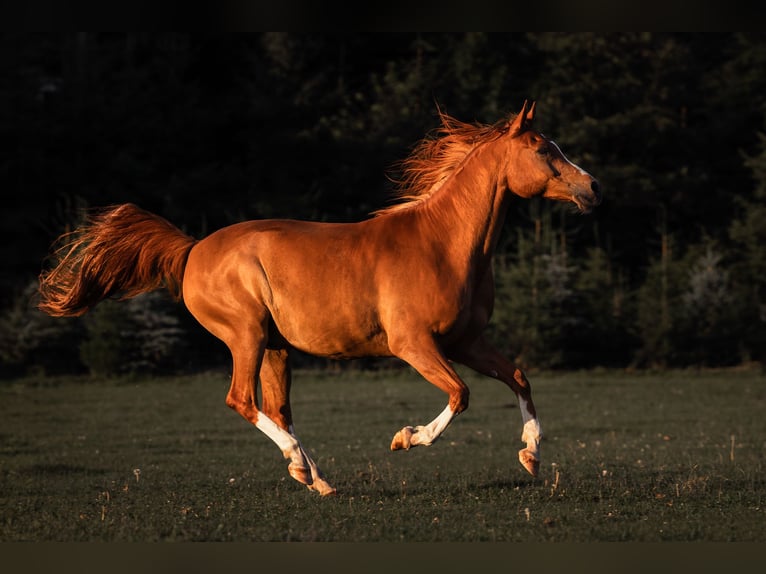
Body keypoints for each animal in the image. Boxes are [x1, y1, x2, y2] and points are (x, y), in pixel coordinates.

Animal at [37, 101, 600, 498]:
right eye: (544, 149)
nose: (593, 187)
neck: (443, 244)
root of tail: (192, 248)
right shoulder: (414, 345)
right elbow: (460, 395)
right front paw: (406, 438)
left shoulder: (466, 341)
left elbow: (519, 377)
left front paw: (531, 456)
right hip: (246, 335)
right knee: (242, 400)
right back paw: (304, 468)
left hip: (276, 348)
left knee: (277, 408)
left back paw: (315, 477)